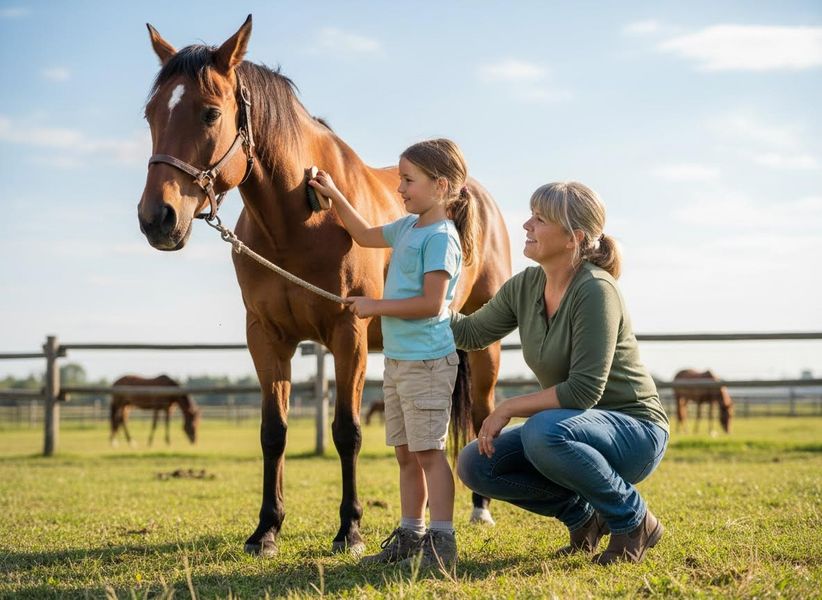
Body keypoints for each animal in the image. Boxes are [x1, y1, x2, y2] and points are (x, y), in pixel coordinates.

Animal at [138, 15, 511, 557]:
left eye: (210, 113)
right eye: (150, 114)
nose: (157, 219)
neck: (299, 222)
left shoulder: (346, 334)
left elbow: (347, 431)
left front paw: (349, 529)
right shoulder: (266, 337)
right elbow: (273, 432)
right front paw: (266, 530)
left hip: (486, 349)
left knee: (483, 417)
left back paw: (480, 510)